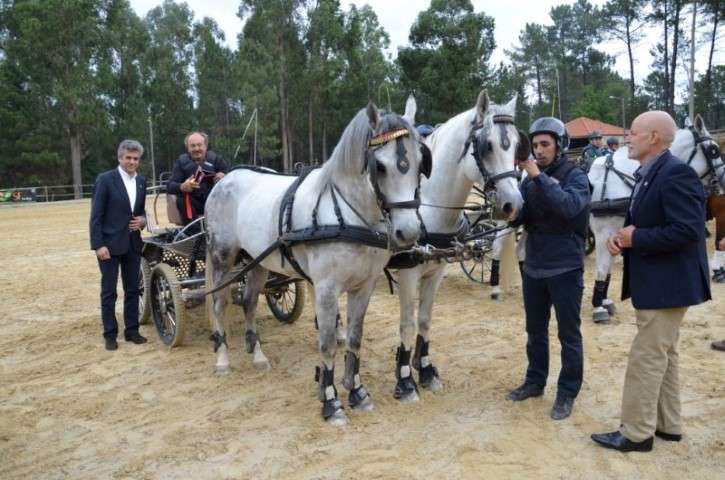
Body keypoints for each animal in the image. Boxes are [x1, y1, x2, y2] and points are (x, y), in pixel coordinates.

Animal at [204, 100, 428, 424]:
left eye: (421, 163)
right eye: (380, 166)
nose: (408, 232)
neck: (347, 215)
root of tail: (225, 180)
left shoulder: (364, 286)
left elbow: (355, 338)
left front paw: (357, 392)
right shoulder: (326, 289)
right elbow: (327, 343)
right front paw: (331, 402)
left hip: (257, 262)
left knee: (249, 302)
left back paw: (257, 355)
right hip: (222, 257)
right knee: (220, 305)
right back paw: (222, 359)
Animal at [388, 91, 524, 402]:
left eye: (517, 145)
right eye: (487, 146)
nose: (513, 204)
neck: (427, 209)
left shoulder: (435, 272)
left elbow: (425, 319)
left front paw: (425, 369)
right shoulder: (408, 273)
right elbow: (407, 322)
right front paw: (405, 379)